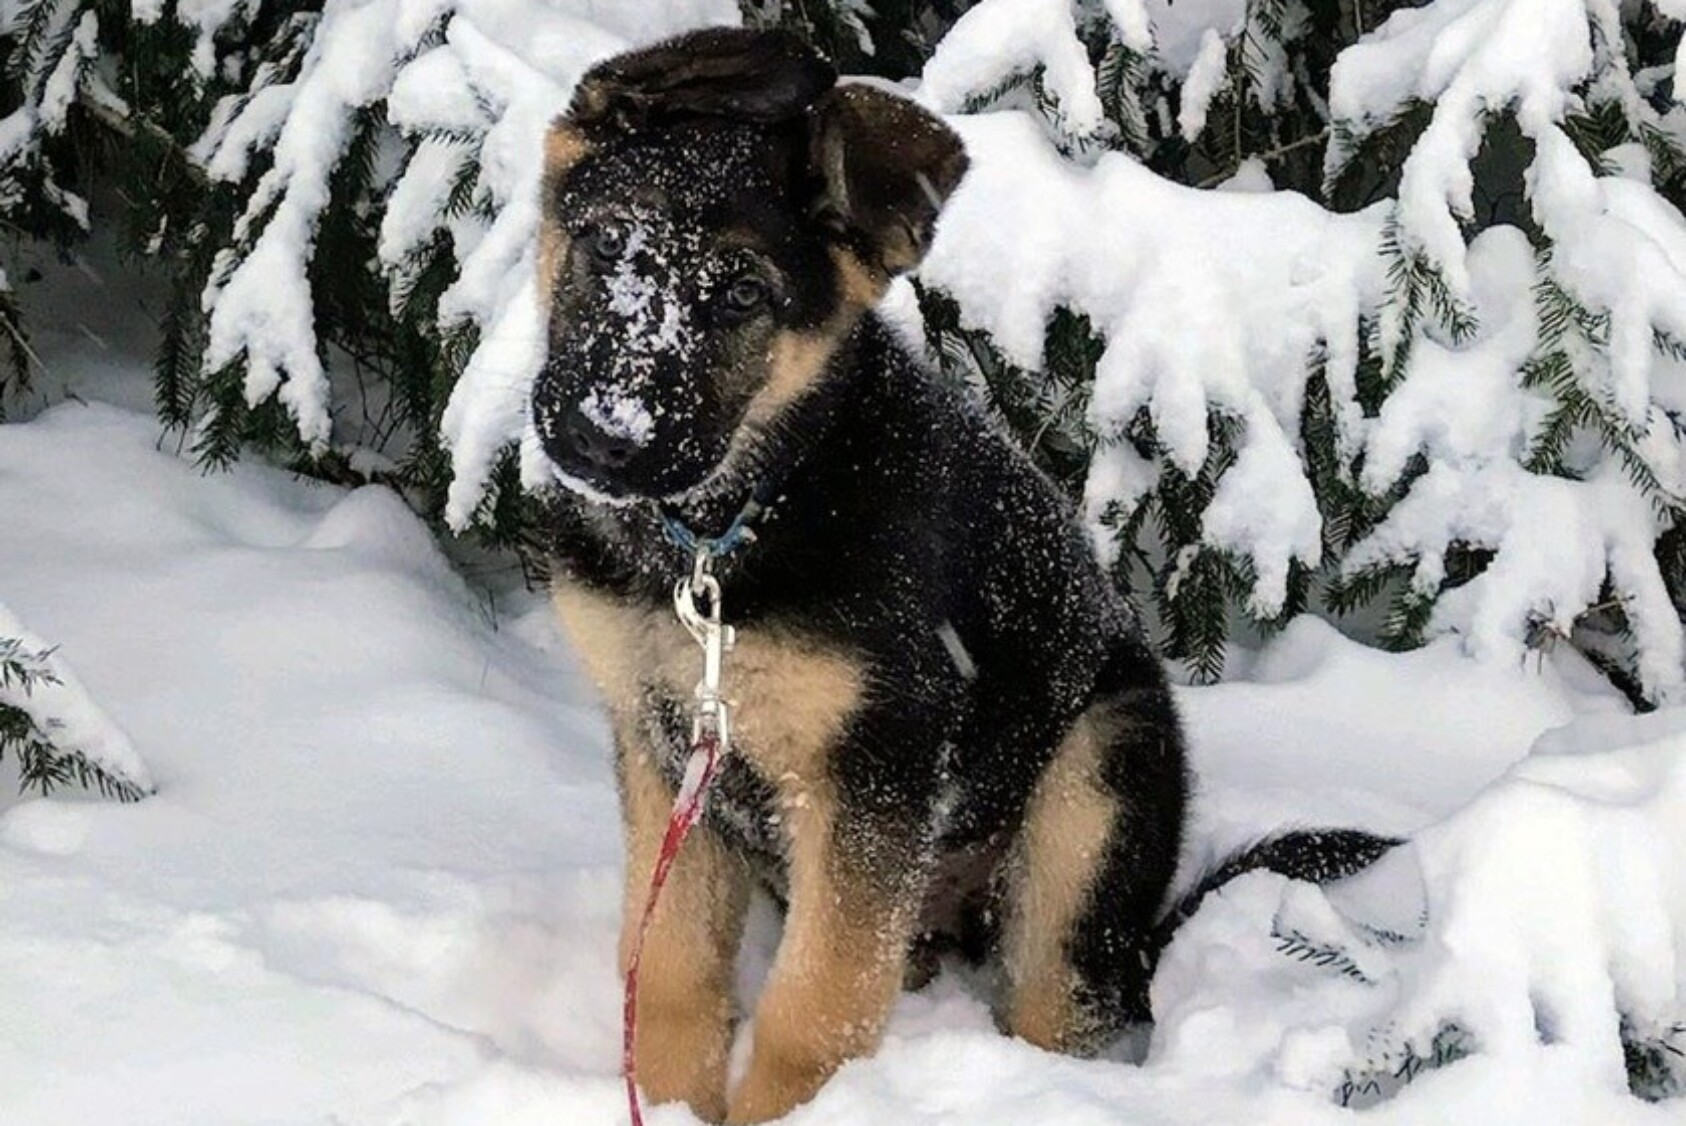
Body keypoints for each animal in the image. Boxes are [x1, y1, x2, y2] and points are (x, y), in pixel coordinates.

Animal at [532, 26, 1389, 1126]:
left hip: (1089, 805)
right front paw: (677, 1101)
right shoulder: (661, 742)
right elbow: (672, 968)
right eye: (605, 243)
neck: (737, 525)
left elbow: (815, 1003)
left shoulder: (877, 771)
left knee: (1057, 999)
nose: (605, 438)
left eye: (743, 296)